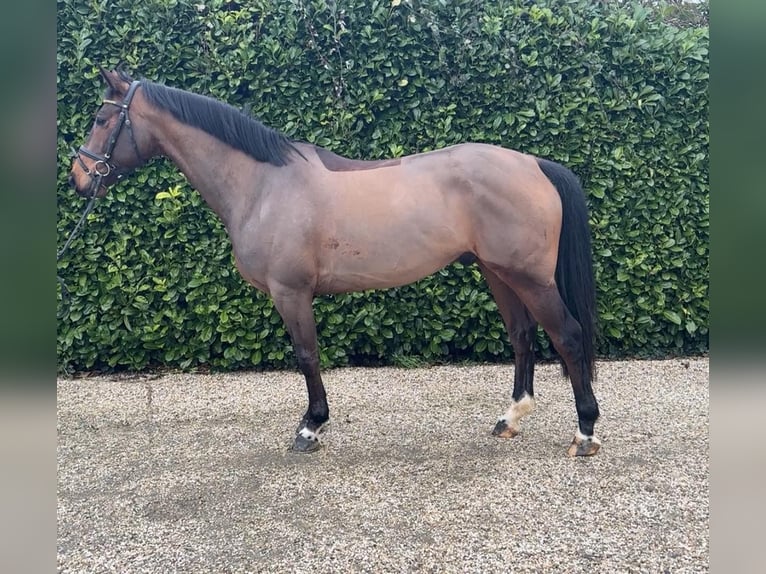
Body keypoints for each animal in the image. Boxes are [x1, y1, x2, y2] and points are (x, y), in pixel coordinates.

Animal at [67, 67, 601, 457]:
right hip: (498, 272)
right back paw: (510, 419)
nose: (79, 177)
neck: (263, 184)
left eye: (101, 118)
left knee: (569, 336)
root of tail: (534, 164)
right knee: (522, 336)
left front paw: (310, 428)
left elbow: (306, 355)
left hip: (529, 278)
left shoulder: (291, 292)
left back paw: (586, 432)